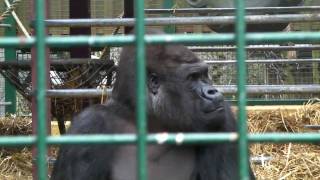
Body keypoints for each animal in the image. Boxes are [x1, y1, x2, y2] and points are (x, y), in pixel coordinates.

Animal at [50, 28, 255, 179]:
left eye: (204, 75)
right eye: (193, 77)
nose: (212, 91)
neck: (151, 124)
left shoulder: (224, 118)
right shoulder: (88, 126)